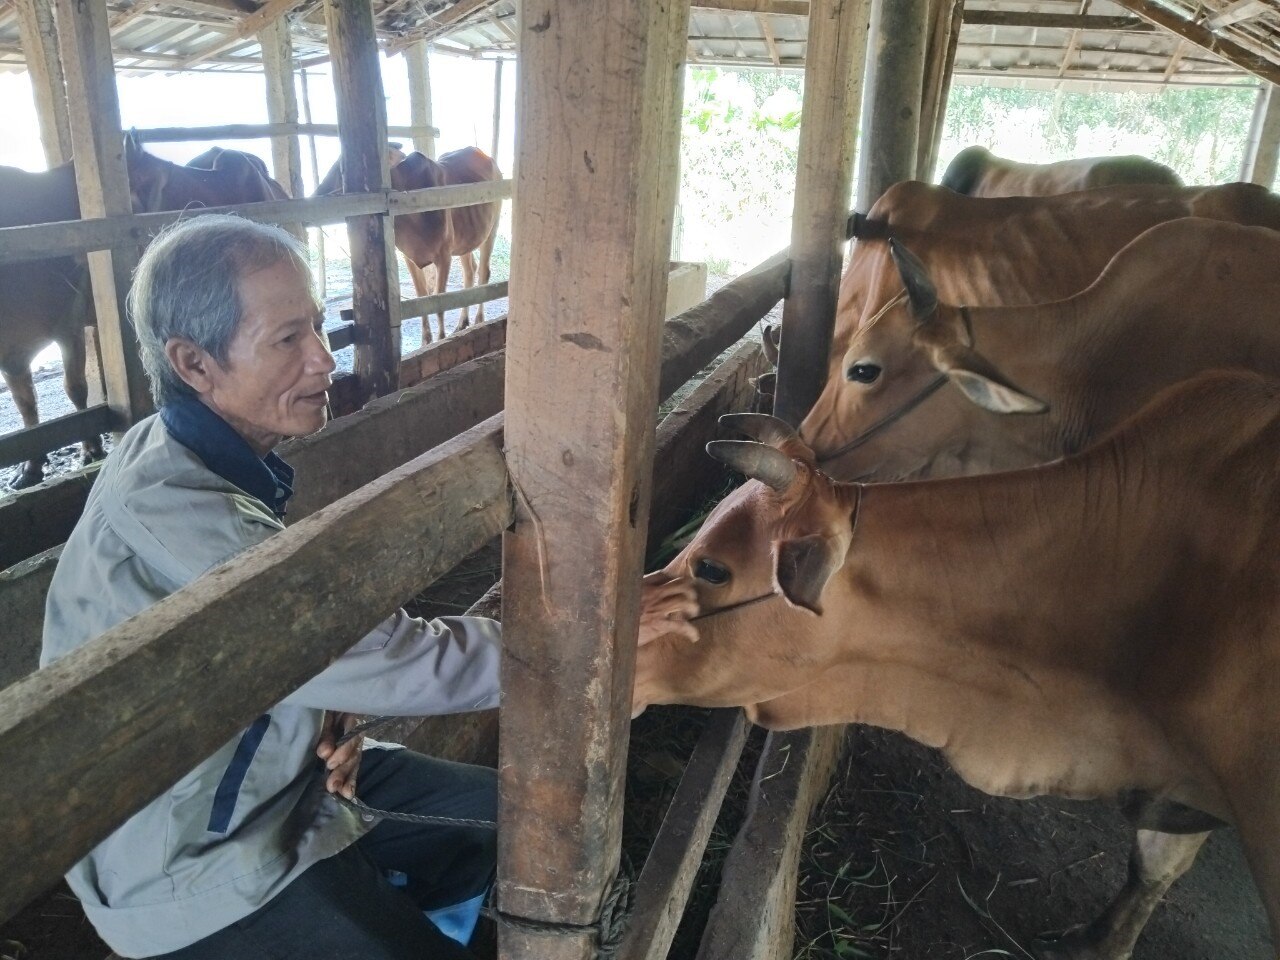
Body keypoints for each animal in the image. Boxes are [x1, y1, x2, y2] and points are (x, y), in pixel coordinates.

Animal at [389, 148, 504, 343]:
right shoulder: (408, 257)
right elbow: (421, 297)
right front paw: (426, 340)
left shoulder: (443, 256)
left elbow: (439, 301)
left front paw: (441, 338)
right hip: (466, 238)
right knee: (469, 271)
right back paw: (461, 323)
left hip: (491, 229)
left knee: (483, 272)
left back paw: (479, 320)